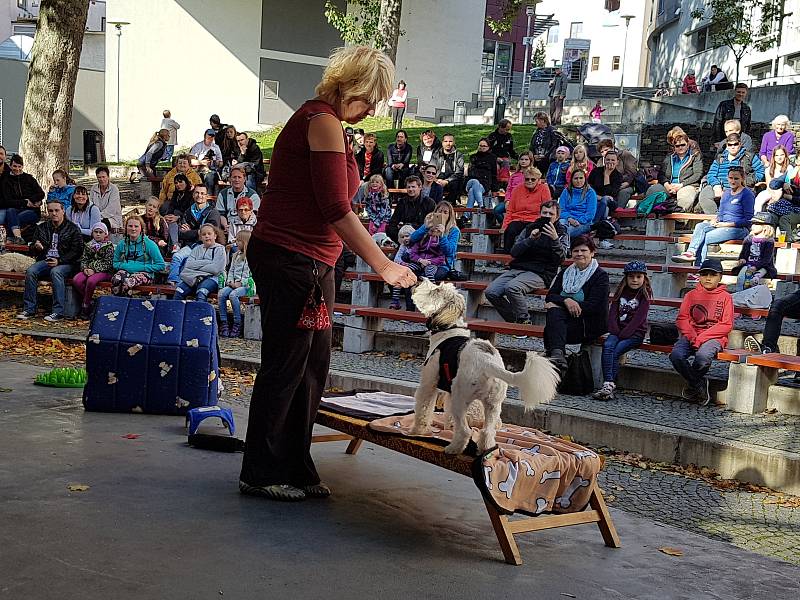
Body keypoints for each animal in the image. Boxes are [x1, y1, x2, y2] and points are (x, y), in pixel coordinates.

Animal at [410, 278, 560, 452]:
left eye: (437, 290)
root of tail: (488, 362)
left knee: (465, 431)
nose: (420, 278)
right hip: (493, 405)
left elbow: (423, 410)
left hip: (460, 399)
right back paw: (485, 449)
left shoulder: (429, 385)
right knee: (487, 431)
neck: (448, 330)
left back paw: (453, 449)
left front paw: (417, 431)